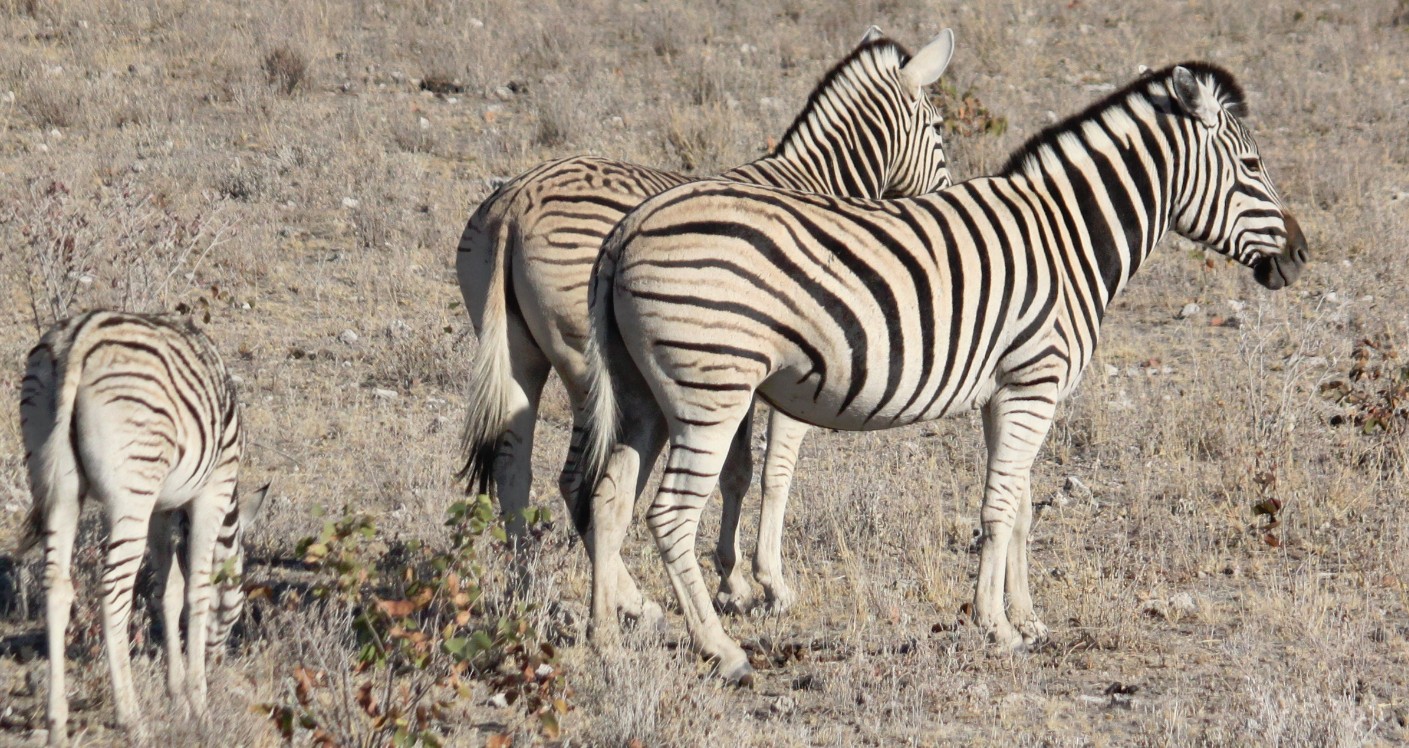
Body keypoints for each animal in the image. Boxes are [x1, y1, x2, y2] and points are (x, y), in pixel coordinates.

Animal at [17, 311, 266, 748]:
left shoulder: (161, 508)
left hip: (58, 486)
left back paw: (57, 723)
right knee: (112, 591)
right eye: (238, 597)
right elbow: (197, 589)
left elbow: (169, 590)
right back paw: (131, 718)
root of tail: (76, 341)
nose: (219, 662)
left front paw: (176, 695)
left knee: (57, 587)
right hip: (130, 494)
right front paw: (199, 704)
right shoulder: (212, 490)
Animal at [456, 27, 963, 614]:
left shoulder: (738, 371)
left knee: (514, 469)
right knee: (576, 479)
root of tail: (516, 202)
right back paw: (631, 601)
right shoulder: (793, 373)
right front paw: (771, 583)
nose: (942, 201)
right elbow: (774, 473)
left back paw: (526, 591)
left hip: (520, 355)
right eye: (939, 128)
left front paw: (731, 580)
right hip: (590, 367)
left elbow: (736, 473)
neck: (815, 182)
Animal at [574, 63, 1307, 684]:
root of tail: (628, 229)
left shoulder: (1008, 392)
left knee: (608, 498)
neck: (1068, 237)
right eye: (1251, 164)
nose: (1300, 256)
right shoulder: (1034, 383)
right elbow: (998, 508)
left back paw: (606, 644)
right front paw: (996, 628)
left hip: (644, 397)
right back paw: (721, 652)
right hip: (712, 393)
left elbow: (1019, 510)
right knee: (669, 514)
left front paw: (1028, 621)